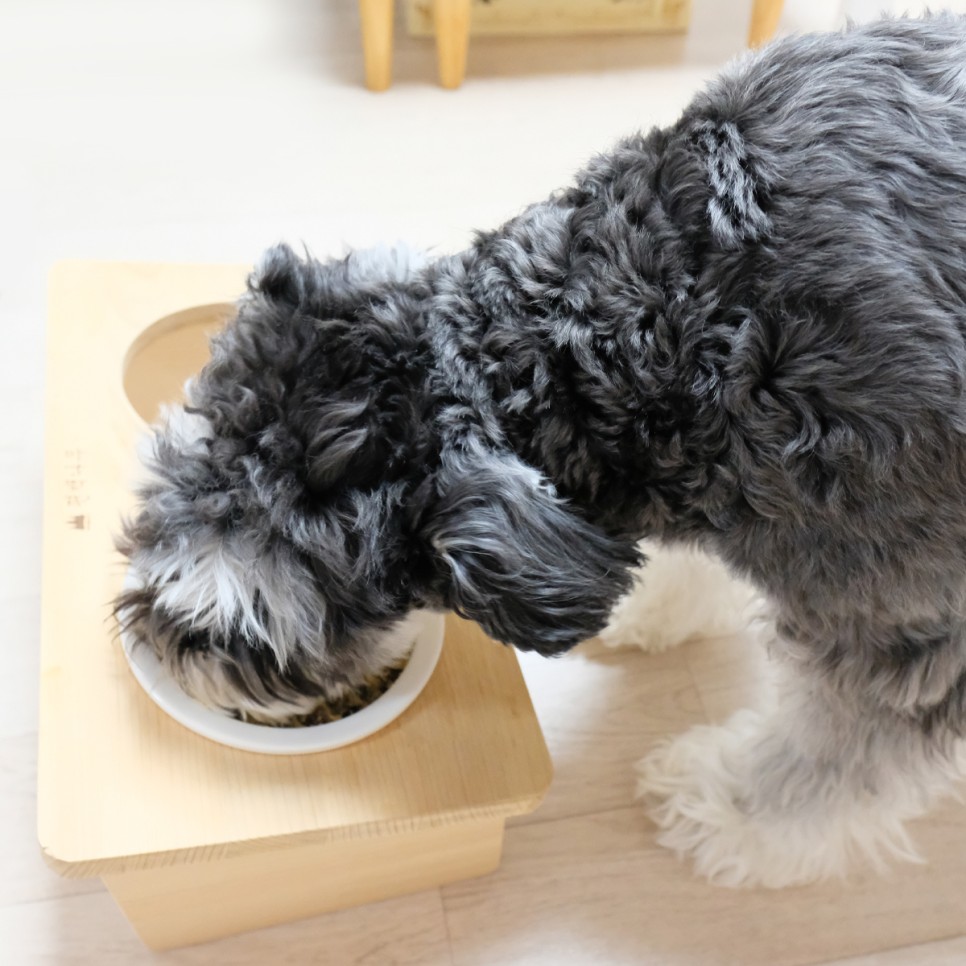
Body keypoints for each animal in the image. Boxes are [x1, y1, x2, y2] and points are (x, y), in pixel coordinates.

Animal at [117, 17, 966, 892]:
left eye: (246, 635)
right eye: (152, 506)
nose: (149, 633)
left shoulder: (899, 610)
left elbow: (842, 743)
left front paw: (729, 816)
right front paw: (659, 610)